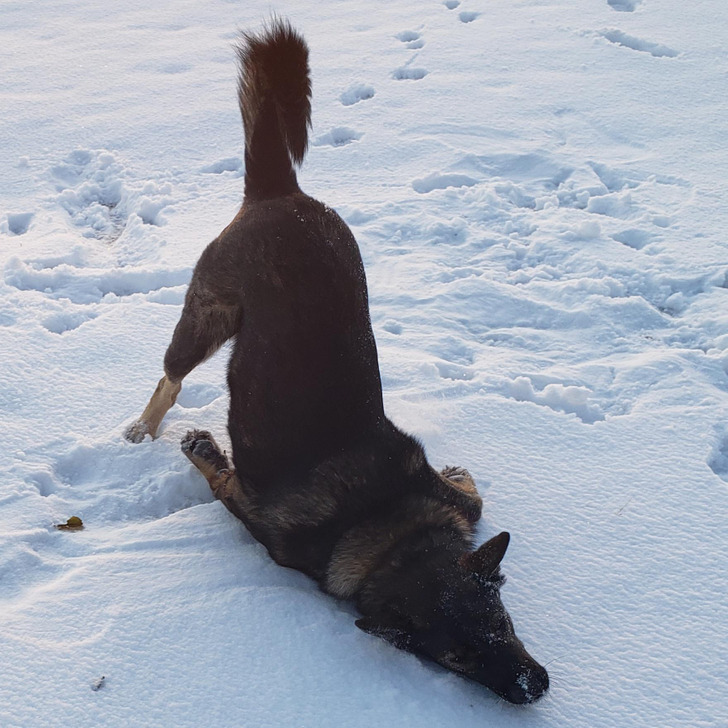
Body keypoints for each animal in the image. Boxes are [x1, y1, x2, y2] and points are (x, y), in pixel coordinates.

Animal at [125, 19, 544, 704]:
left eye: (502, 622)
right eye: (454, 660)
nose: (535, 688)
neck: (383, 525)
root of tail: (280, 189)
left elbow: (472, 497)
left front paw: (460, 474)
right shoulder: (249, 510)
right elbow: (216, 476)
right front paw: (200, 448)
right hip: (207, 317)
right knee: (171, 374)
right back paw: (144, 425)